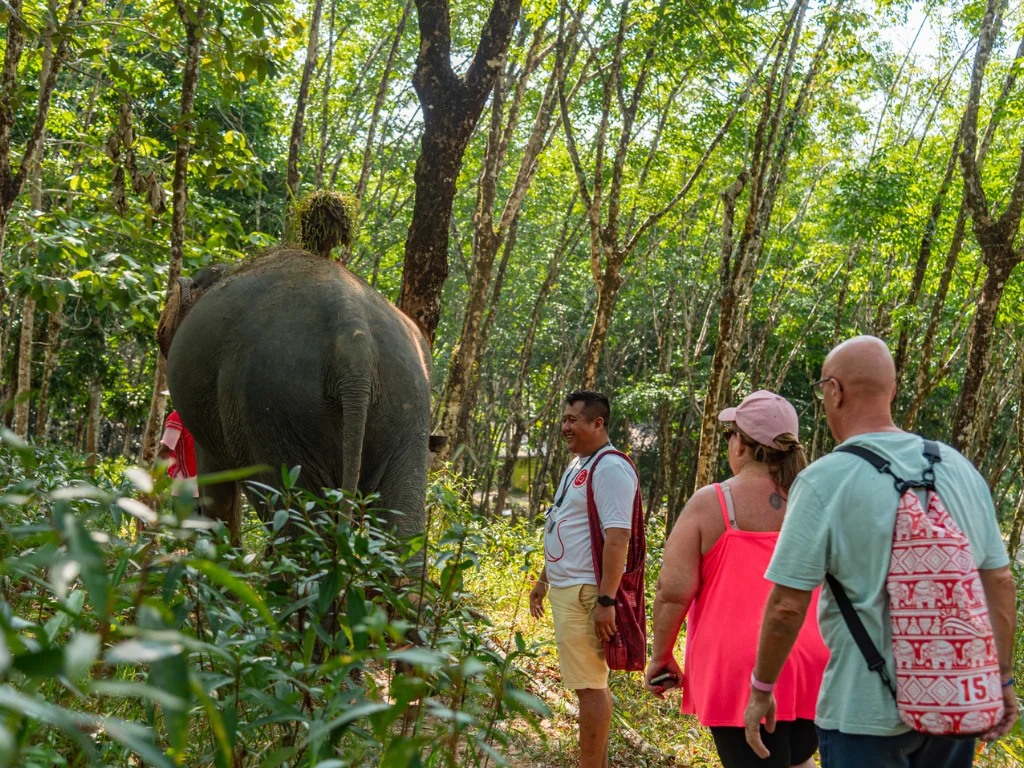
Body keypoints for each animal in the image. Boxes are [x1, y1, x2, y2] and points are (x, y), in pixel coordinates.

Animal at [163, 248, 433, 545]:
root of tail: (354, 339)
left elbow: (215, 486)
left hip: (274, 404)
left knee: (296, 519)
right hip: (405, 400)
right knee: (402, 524)